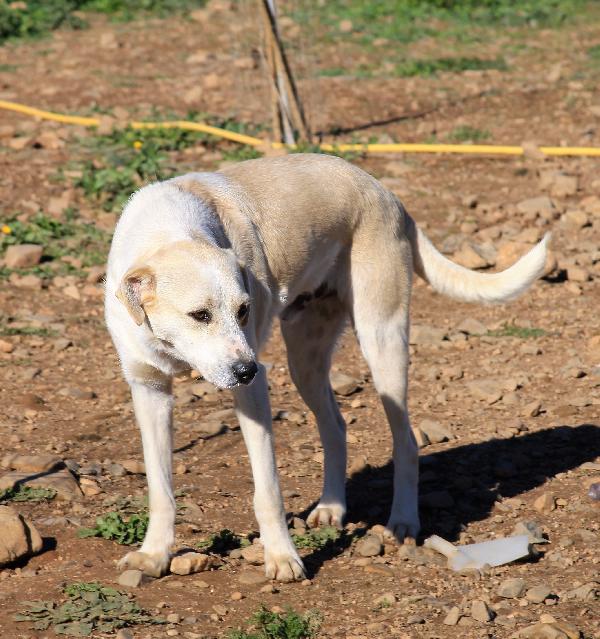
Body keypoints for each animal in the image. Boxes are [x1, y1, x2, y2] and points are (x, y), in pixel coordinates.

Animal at [104, 152, 548, 584]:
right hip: (306, 360)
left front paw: (282, 558)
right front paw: (154, 554)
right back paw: (333, 506)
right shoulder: (149, 390)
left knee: (406, 440)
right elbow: (160, 488)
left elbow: (268, 491)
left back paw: (403, 520)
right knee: (335, 426)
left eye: (244, 310)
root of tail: (386, 194)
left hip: (381, 341)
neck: (169, 232)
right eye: (199, 315)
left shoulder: (252, 395)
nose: (248, 370)